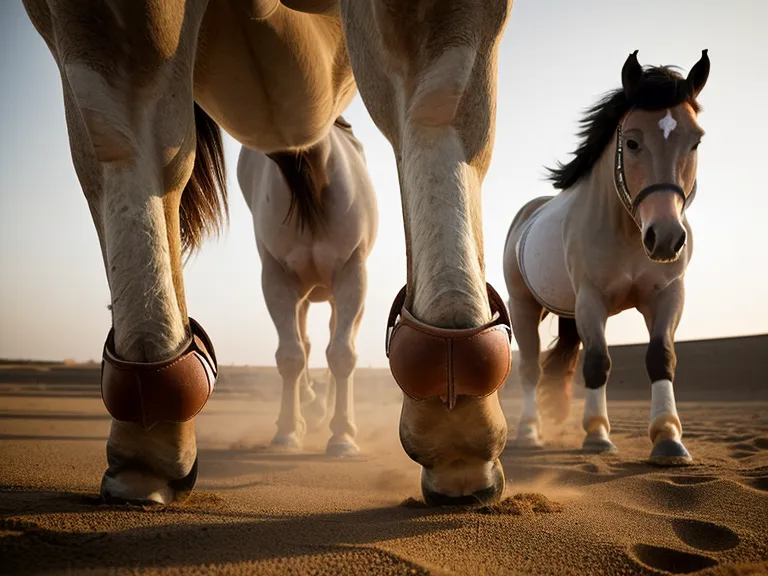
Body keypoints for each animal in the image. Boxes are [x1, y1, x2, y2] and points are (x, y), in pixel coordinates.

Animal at [237, 117, 377, 456]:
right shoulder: (277, 276)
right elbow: (291, 355)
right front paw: (287, 432)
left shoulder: (351, 272)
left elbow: (342, 353)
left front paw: (342, 437)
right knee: (305, 340)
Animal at [503, 50, 710, 465]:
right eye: (631, 142)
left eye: (695, 141)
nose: (666, 238)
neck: (628, 231)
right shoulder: (591, 300)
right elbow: (598, 362)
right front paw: (597, 435)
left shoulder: (668, 295)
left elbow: (661, 357)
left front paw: (668, 439)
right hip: (523, 306)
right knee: (530, 369)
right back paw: (529, 433)